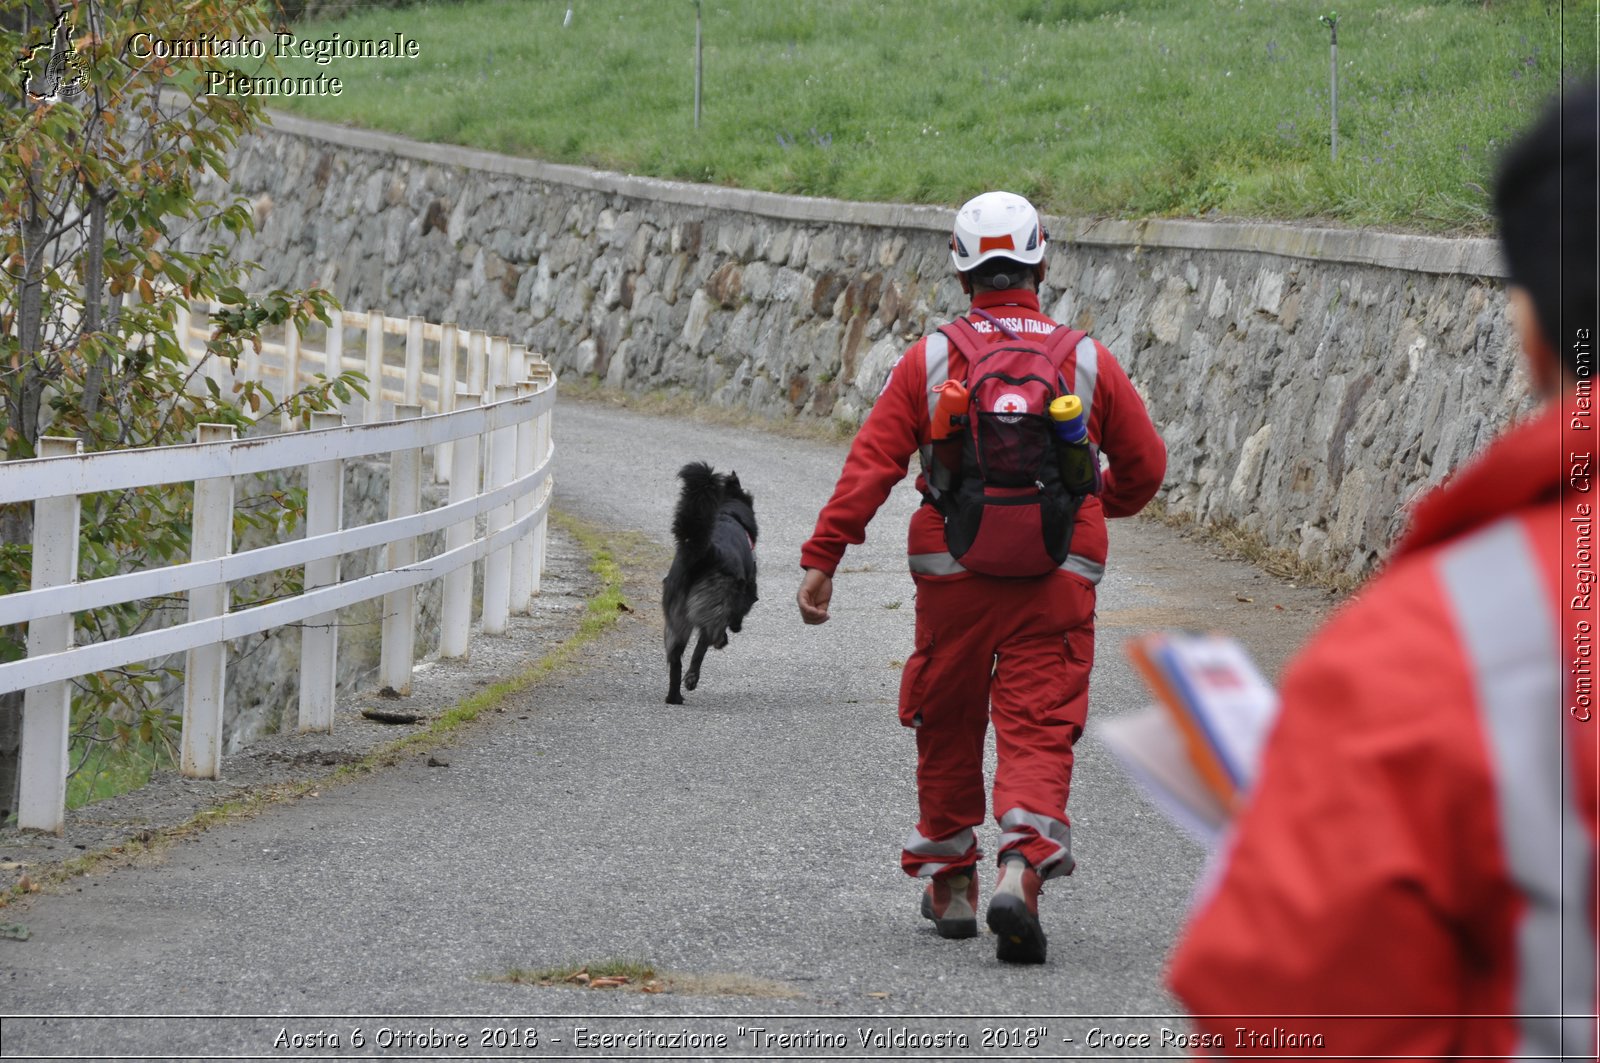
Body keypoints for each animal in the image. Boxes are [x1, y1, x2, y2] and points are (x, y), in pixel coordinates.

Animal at [665, 457, 758, 701]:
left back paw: (674, 698)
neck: (729, 513)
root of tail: (705, 553)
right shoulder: (747, 591)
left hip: (676, 620)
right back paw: (693, 677)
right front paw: (735, 627)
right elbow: (740, 610)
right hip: (713, 608)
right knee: (702, 645)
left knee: (675, 660)